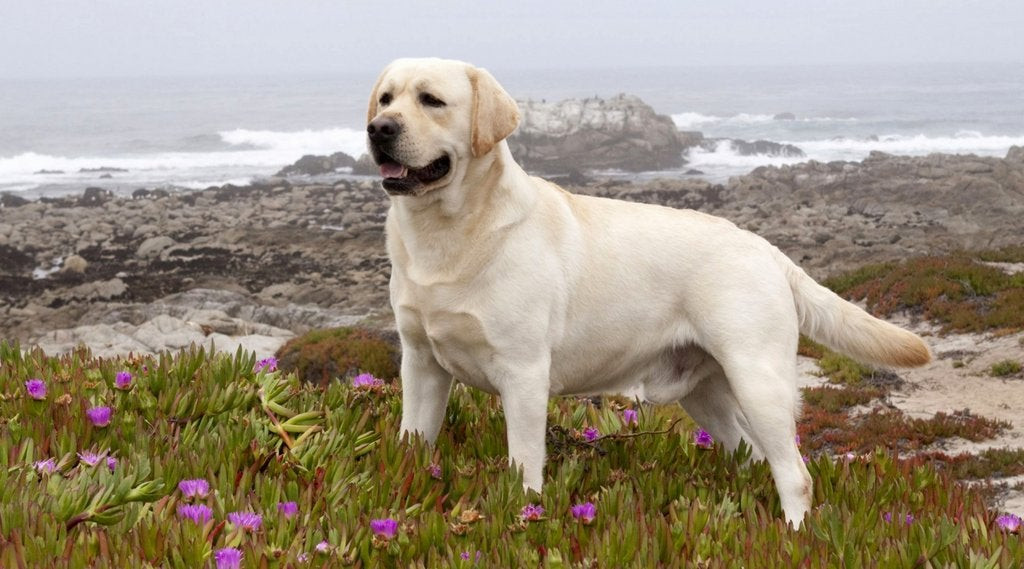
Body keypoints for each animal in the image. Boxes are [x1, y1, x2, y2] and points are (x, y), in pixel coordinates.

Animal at [370, 57, 937, 523]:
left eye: (432, 100)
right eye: (386, 98)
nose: (378, 129)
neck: (447, 234)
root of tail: (767, 249)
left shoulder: (523, 373)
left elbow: (524, 465)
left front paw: (524, 513)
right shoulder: (421, 364)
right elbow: (412, 441)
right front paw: (405, 489)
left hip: (760, 381)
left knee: (795, 474)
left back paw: (795, 537)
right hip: (707, 394)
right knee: (752, 456)